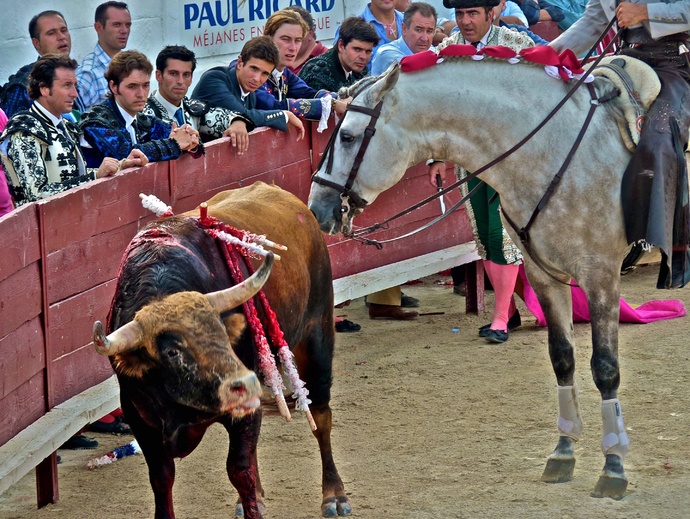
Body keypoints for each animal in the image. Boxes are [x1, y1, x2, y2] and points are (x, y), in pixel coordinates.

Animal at [93, 182, 350, 518]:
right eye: (172, 352)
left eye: (223, 335)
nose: (244, 384)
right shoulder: (138, 415)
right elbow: (162, 477)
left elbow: (240, 470)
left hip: (317, 337)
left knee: (320, 416)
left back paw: (334, 495)